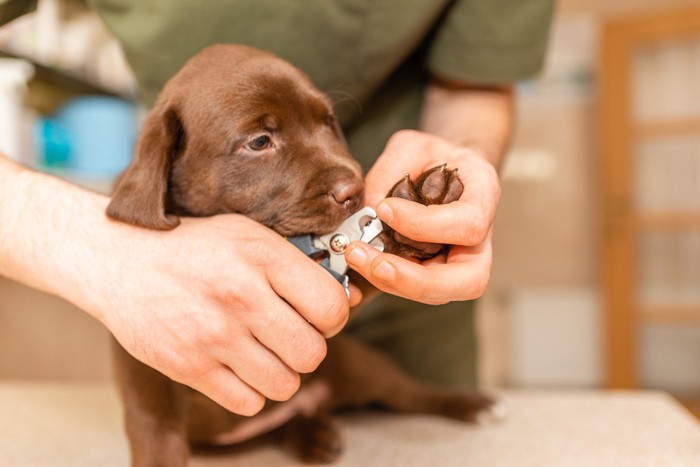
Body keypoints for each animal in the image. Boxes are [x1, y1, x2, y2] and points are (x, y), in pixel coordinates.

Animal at [106, 43, 494, 464]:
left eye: (327, 122)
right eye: (260, 142)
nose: (354, 189)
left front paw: (409, 217)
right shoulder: (143, 370)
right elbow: (155, 431)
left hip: (355, 363)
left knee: (405, 392)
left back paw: (470, 404)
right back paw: (311, 435)